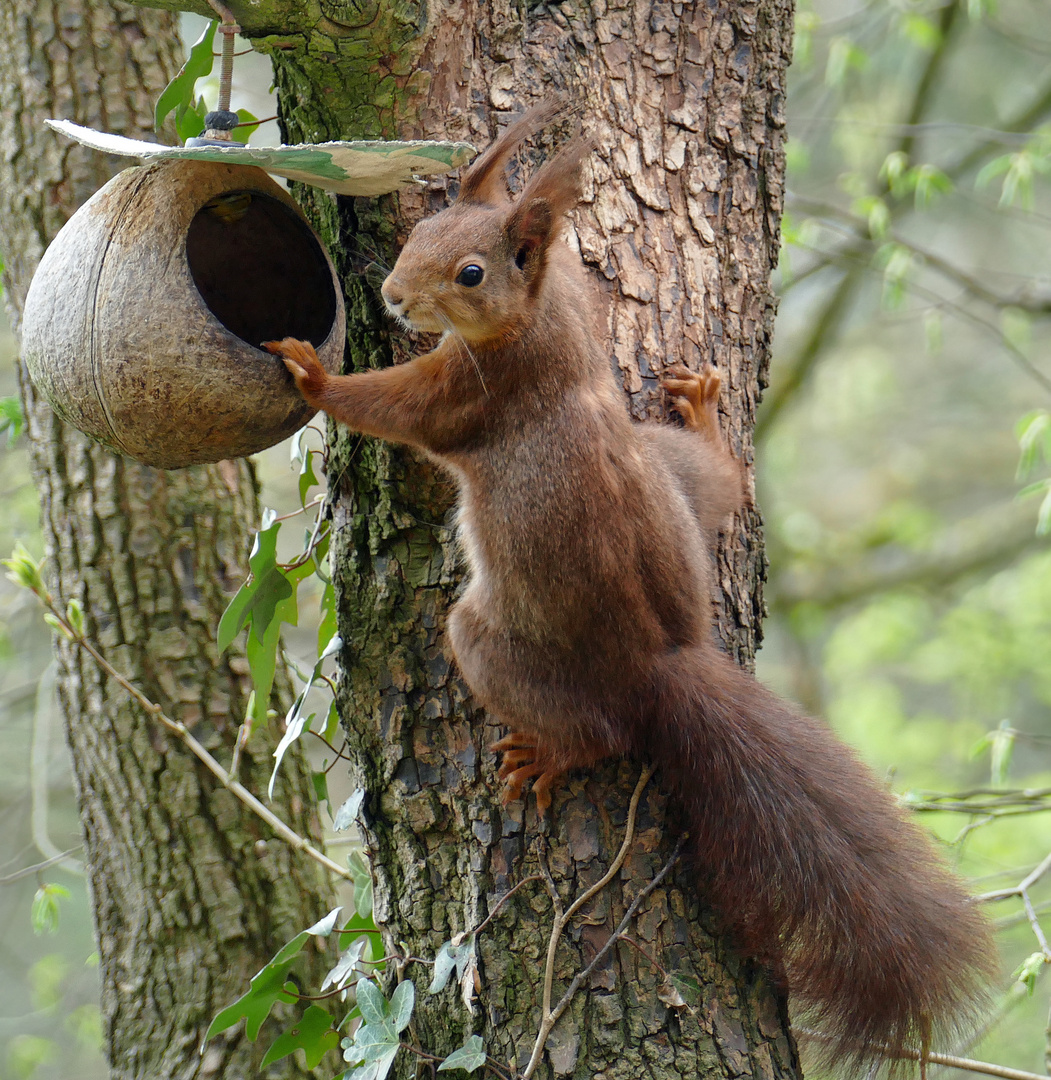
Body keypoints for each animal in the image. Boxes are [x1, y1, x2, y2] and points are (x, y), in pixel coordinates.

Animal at [262, 103, 993, 1071]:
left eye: (470, 273)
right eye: (420, 233)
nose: (390, 295)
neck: (542, 321)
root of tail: (663, 661)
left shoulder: (470, 394)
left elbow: (395, 407)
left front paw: (312, 373)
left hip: (495, 644)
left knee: (599, 730)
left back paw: (549, 754)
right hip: (669, 471)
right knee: (720, 482)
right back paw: (704, 413)